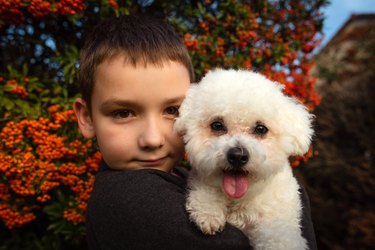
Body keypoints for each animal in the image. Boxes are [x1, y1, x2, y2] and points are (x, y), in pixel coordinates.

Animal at [176, 68, 314, 250]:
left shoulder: (278, 222)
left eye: (261, 129)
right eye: (217, 125)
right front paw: (208, 210)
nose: (237, 156)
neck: (240, 200)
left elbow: (279, 238)